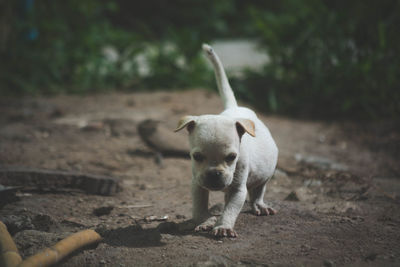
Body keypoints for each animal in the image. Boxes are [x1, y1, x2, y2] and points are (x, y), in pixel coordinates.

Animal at [175, 44, 278, 239]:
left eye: (231, 157)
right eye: (197, 157)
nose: (214, 174)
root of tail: (234, 107)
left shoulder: (238, 189)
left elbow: (231, 209)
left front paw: (223, 226)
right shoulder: (197, 184)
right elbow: (199, 207)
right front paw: (205, 221)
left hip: (265, 173)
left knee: (258, 189)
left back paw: (259, 205)